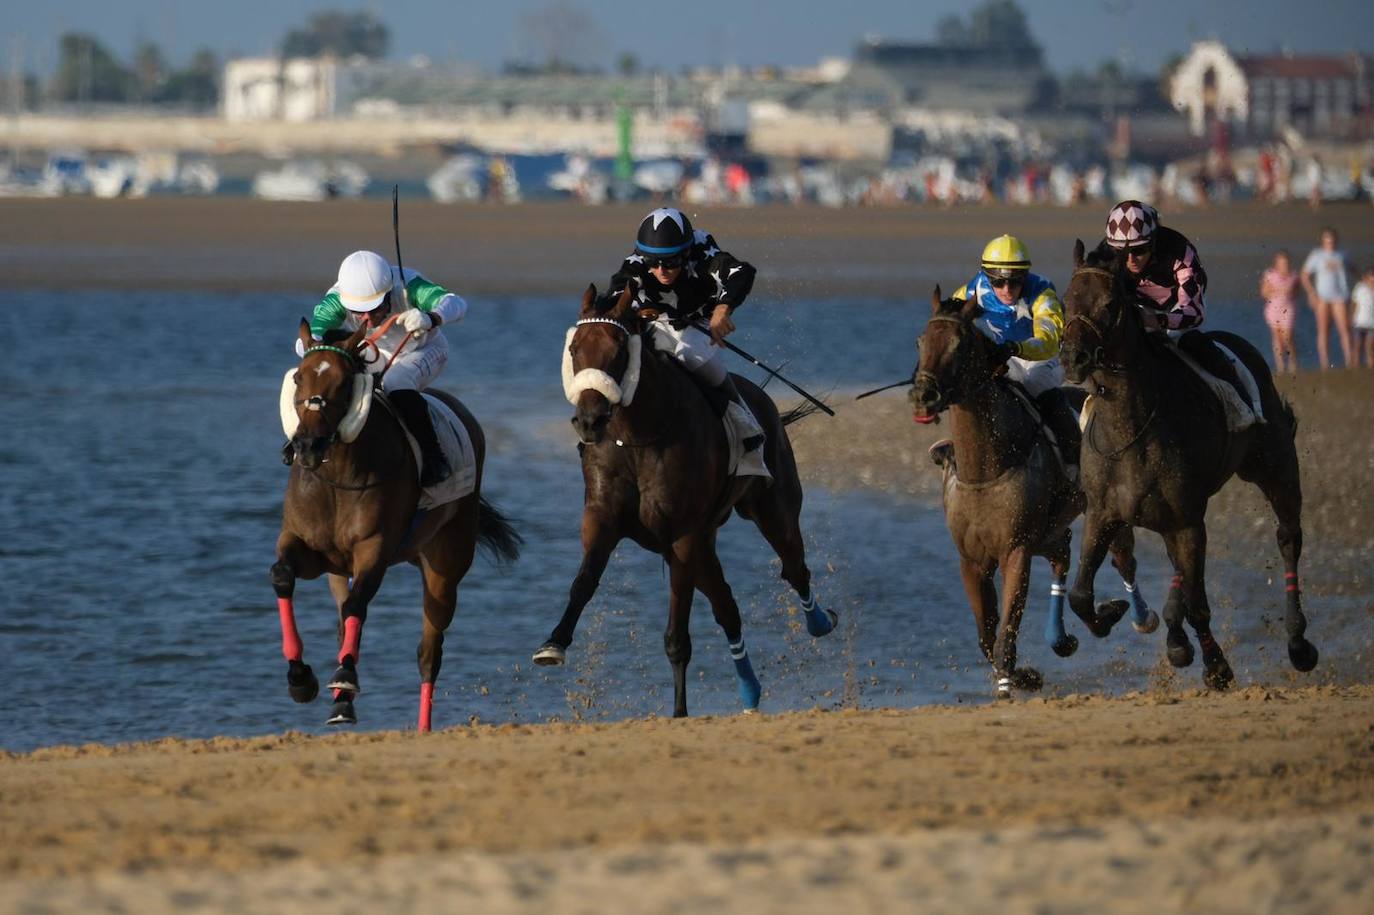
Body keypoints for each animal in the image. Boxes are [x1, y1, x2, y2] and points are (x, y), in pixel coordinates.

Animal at [272, 318, 519, 725]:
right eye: (298, 378)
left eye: (343, 382)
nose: (306, 446)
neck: (338, 479)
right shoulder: (310, 548)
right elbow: (283, 577)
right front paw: (300, 678)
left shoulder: (374, 549)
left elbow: (358, 606)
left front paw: (343, 677)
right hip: (342, 572)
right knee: (346, 622)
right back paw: (341, 701)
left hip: (444, 567)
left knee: (429, 652)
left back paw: (419, 725)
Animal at [533, 285, 835, 714]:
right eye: (575, 349)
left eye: (618, 350)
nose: (589, 421)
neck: (637, 437)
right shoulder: (603, 518)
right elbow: (584, 581)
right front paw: (553, 644)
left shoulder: (682, 538)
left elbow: (677, 636)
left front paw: (679, 713)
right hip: (707, 544)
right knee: (728, 608)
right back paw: (749, 692)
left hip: (772, 511)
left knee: (794, 569)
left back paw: (819, 622)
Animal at [912, 288, 1159, 695]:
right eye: (921, 340)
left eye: (959, 345)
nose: (923, 394)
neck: (986, 469)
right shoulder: (972, 559)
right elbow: (987, 635)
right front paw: (1022, 675)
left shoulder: (1016, 550)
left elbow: (1005, 633)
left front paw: (1011, 679)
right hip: (1050, 531)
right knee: (1062, 557)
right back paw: (1066, 636)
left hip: (1104, 512)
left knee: (1123, 561)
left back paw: (1136, 615)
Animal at [1055, 241, 1313, 684]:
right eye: (1068, 301)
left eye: (1110, 304)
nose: (1074, 357)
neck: (1131, 428)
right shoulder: (1104, 513)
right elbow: (1079, 595)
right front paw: (1112, 613)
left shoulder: (1187, 519)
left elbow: (1199, 604)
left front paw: (1217, 665)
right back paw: (1176, 637)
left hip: (1273, 465)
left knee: (1287, 536)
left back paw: (1298, 643)